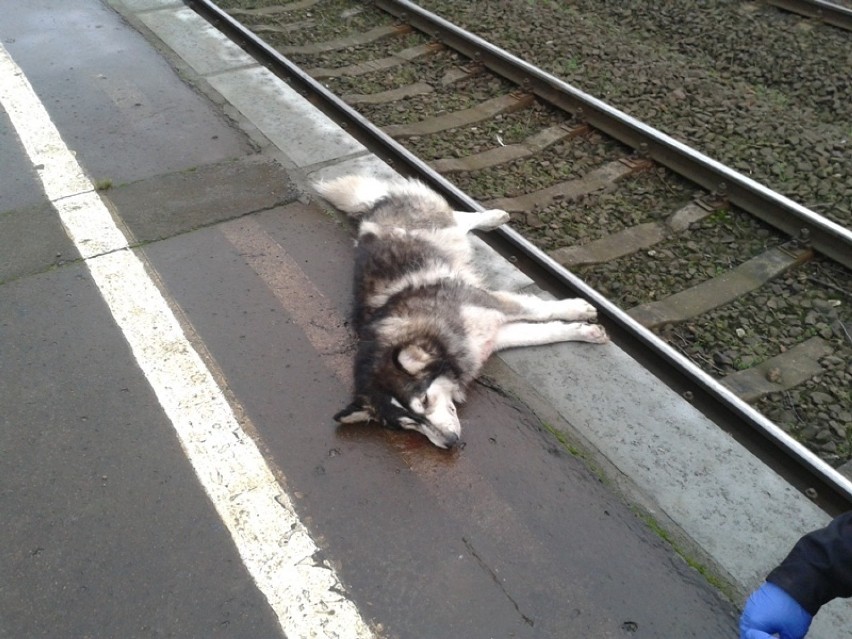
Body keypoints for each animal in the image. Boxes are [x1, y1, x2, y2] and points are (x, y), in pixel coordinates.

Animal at [314, 172, 604, 448]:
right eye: (409, 425)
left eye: (425, 400)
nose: (450, 442)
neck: (432, 334)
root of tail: (373, 210)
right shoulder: (488, 339)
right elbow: (543, 333)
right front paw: (585, 332)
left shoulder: (489, 303)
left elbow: (540, 310)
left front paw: (578, 309)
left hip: (438, 224)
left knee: (458, 216)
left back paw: (493, 216)